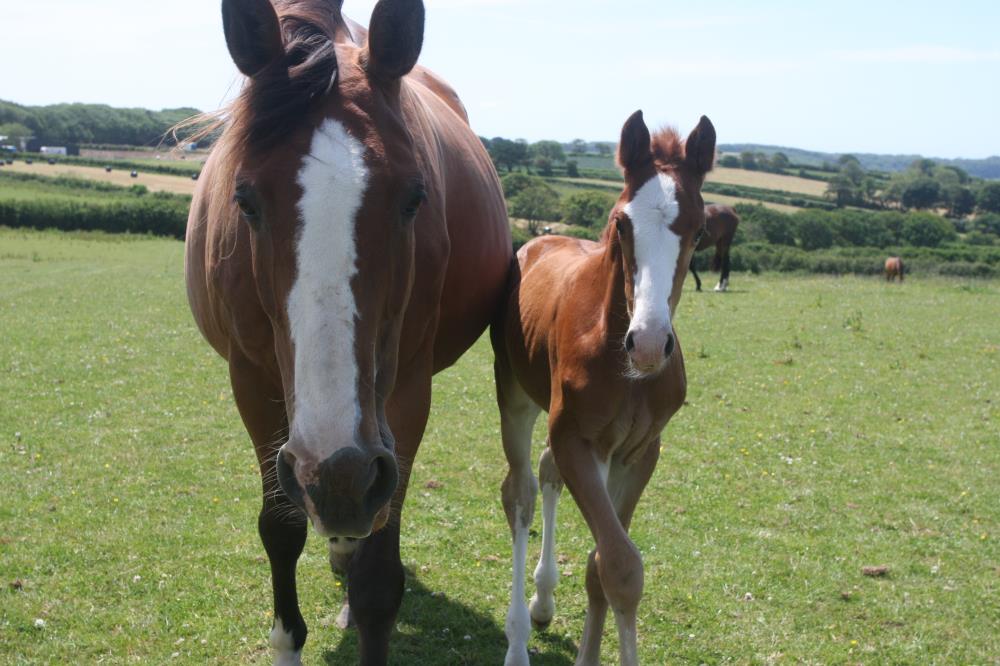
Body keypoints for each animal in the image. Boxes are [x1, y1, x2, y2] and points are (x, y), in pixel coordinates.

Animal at [185, 2, 512, 660]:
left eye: (414, 198)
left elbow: (380, 577)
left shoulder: (405, 394)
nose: (337, 474)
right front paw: (287, 643)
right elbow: (281, 526)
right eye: (245, 200)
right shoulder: (250, 382)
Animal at [490, 111, 712, 660]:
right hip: (515, 395)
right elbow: (622, 567)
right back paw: (517, 641)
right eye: (622, 222)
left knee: (546, 474)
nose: (649, 343)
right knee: (521, 493)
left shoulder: (640, 451)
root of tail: (539, 240)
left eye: (699, 230)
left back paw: (543, 600)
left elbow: (601, 563)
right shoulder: (576, 437)